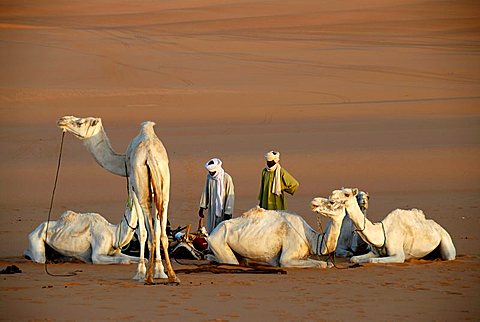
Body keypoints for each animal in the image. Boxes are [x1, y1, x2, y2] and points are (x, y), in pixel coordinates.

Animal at [57, 117, 178, 284]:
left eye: (80, 122)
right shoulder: (157, 192)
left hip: (141, 188)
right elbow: (158, 229)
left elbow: (142, 232)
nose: (62, 120)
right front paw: (160, 272)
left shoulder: (132, 186)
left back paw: (147, 277)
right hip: (165, 186)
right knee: (161, 232)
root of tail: (150, 155)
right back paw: (172, 276)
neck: (123, 161)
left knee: (149, 233)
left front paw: (140, 272)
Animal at [206, 206, 342, 270]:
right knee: (231, 262)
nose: (316, 205)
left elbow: (325, 263)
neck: (310, 238)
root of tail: (212, 232)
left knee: (242, 261)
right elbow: (321, 264)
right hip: (217, 240)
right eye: (331, 202)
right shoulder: (286, 259)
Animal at [310, 187, 456, 262]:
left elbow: (373, 260)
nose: (332, 197)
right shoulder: (374, 251)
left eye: (346, 194)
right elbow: (354, 259)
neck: (382, 232)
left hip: (446, 239)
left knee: (449, 256)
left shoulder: (398, 255)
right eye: (334, 192)